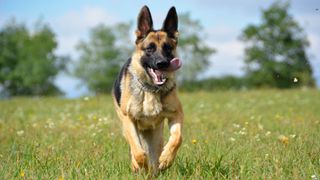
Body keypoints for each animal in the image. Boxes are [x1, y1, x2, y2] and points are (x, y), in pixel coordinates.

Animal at [112, 5, 182, 173]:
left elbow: (177, 138)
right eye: (149, 49)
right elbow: (138, 153)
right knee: (135, 149)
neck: (151, 90)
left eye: (168, 48)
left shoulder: (176, 114)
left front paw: (166, 159)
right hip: (127, 127)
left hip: (156, 134)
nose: (162, 63)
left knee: (156, 152)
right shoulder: (129, 119)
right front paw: (141, 165)